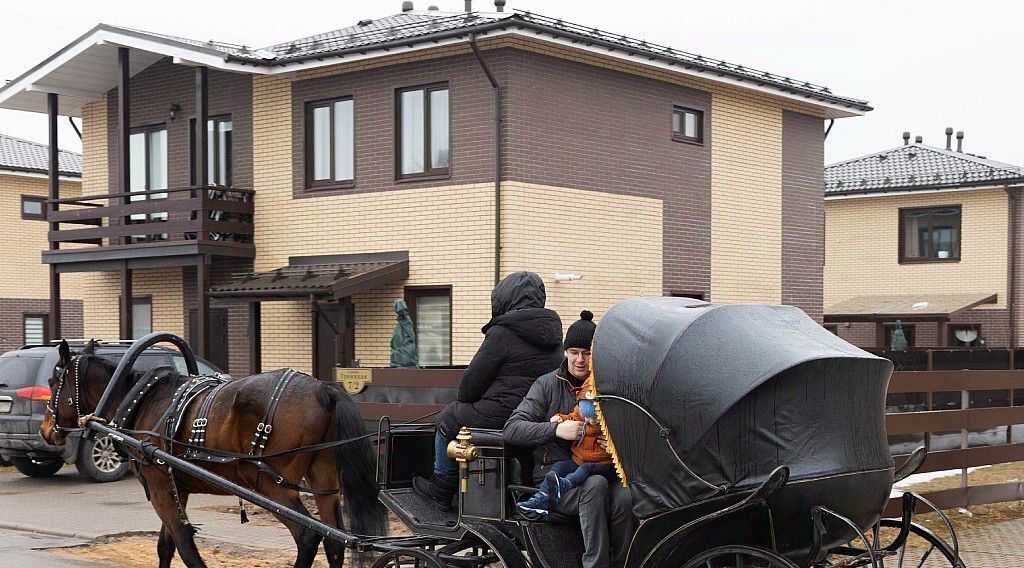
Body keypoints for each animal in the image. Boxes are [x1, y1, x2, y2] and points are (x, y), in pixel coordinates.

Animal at [38, 339, 385, 564]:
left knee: (308, 536)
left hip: (271, 485)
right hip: (323, 482)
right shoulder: (175, 487)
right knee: (334, 540)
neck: (142, 400)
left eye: (53, 380)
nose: (45, 429)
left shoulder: (160, 486)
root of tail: (322, 389)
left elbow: (184, 545)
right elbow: (166, 546)